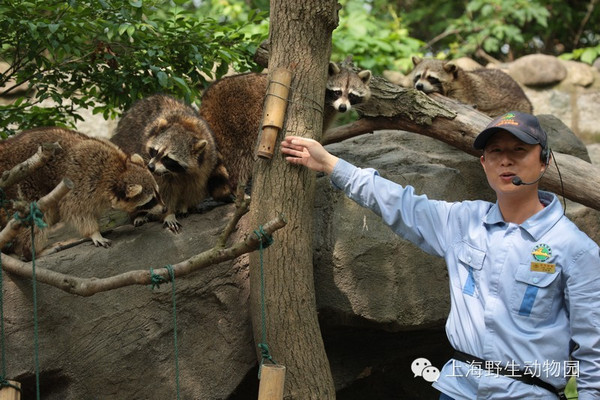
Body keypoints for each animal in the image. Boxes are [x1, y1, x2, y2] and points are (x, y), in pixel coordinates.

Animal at [0, 126, 164, 260]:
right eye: (150, 201)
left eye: (158, 193)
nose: (165, 209)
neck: (118, 171)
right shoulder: (80, 181)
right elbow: (76, 211)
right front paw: (94, 232)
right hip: (21, 186)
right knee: (35, 217)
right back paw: (30, 251)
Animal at [109, 94, 231, 231]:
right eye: (155, 151)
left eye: (168, 158)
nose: (150, 167)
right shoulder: (155, 170)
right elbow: (162, 190)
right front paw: (169, 214)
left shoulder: (205, 162)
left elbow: (194, 186)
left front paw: (184, 205)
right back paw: (138, 215)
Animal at [199, 59, 372, 191]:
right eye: (337, 92)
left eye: (351, 95)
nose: (343, 107)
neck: (329, 104)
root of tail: (208, 96)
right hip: (237, 120)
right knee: (239, 156)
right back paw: (236, 187)